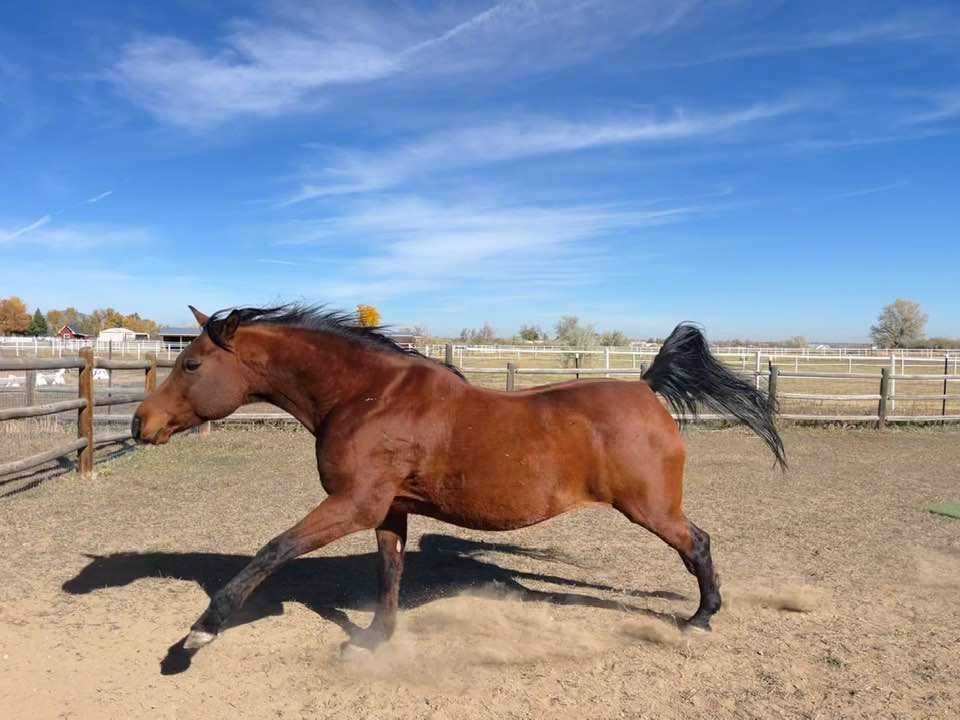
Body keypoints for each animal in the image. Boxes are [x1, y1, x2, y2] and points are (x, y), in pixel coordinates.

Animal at [131, 305, 785, 658]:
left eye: (191, 363)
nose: (142, 424)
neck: (368, 397)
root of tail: (647, 388)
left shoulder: (353, 503)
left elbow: (274, 550)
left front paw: (199, 634)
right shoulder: (389, 510)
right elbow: (389, 573)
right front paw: (377, 639)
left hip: (650, 508)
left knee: (697, 543)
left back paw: (702, 616)